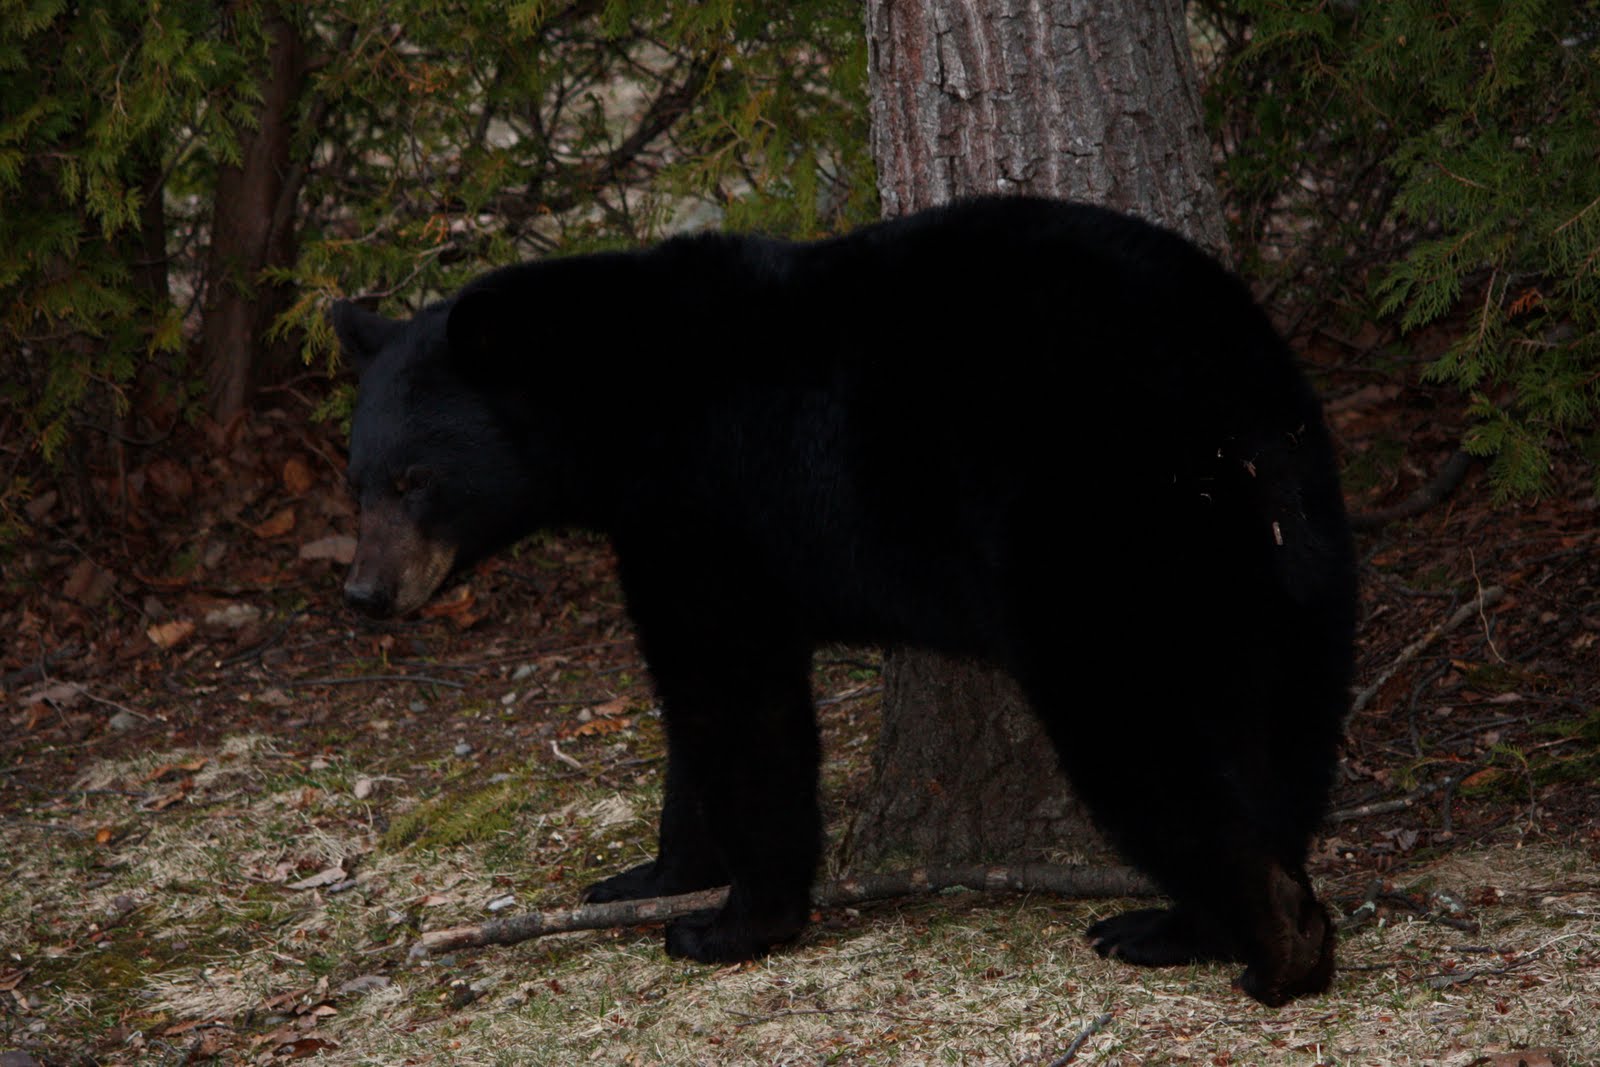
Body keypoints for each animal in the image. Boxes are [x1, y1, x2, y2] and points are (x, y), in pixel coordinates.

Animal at [330, 196, 1357, 1007]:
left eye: (416, 478)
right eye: (358, 479)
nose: (366, 592)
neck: (617, 396)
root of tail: (1228, 392)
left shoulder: (707, 503)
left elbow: (736, 704)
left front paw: (730, 923)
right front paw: (648, 876)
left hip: (1096, 532)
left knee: (1142, 727)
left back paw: (1269, 940)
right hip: (1284, 544)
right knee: (1276, 724)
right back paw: (1186, 923)